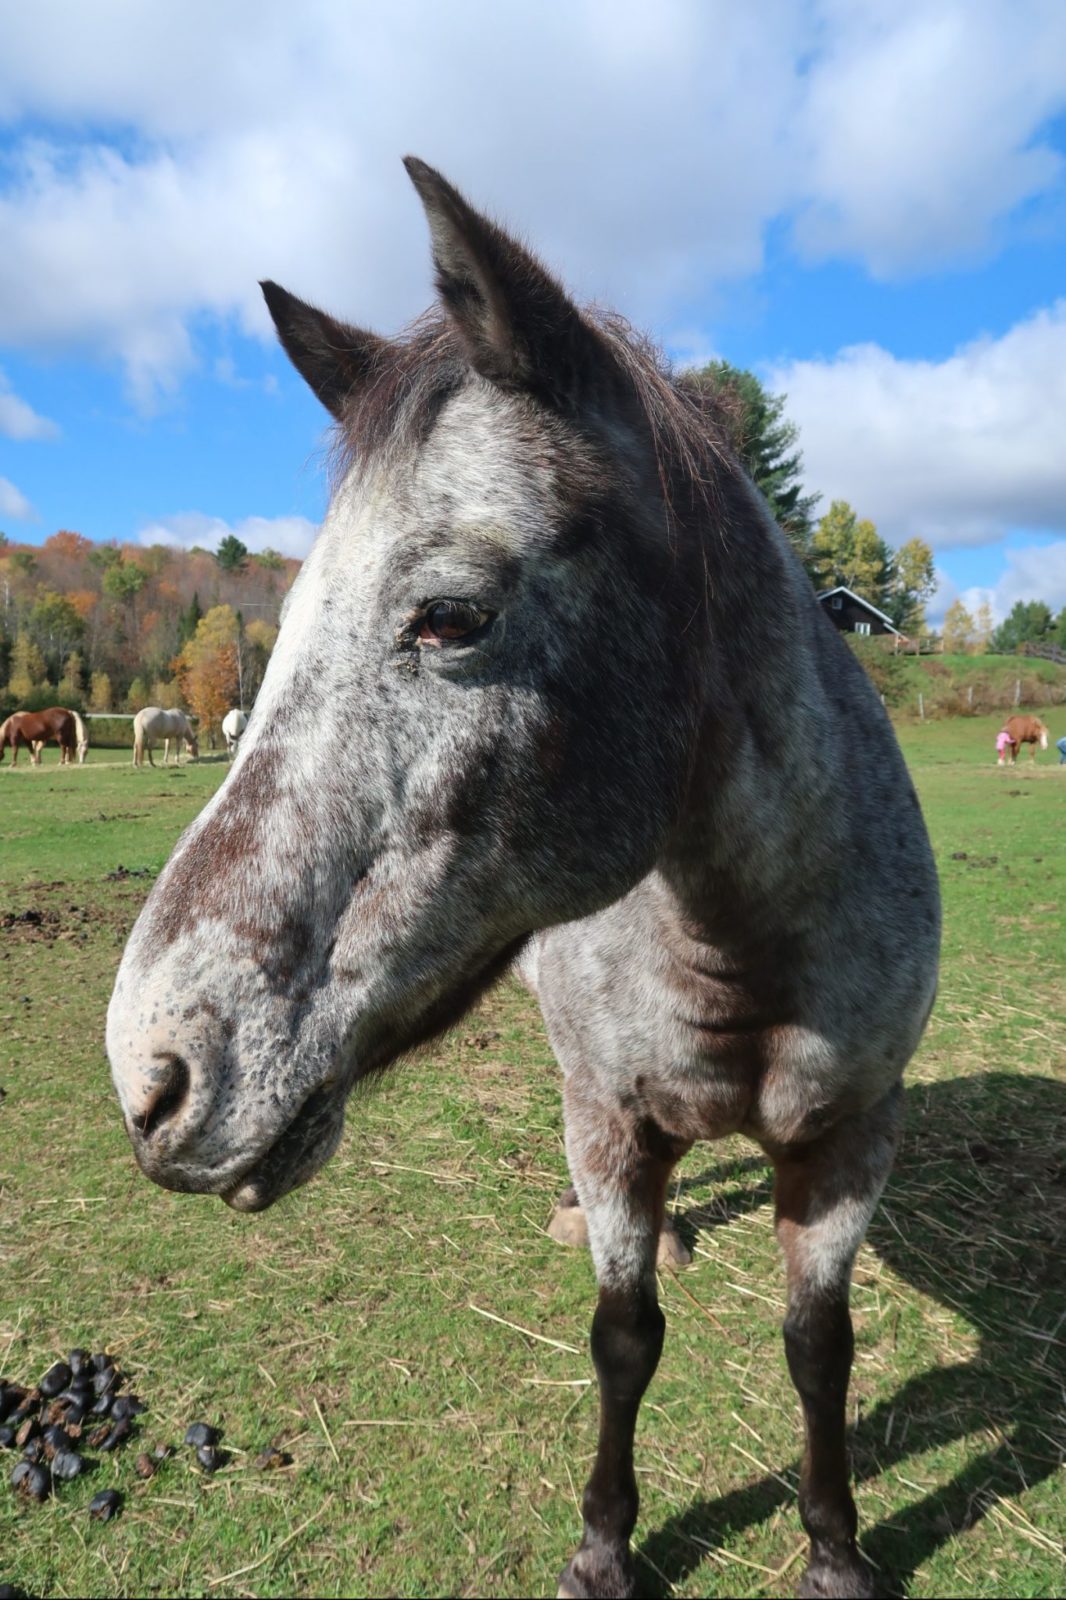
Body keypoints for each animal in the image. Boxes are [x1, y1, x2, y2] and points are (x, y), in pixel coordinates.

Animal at [109, 152, 941, 1600]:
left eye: (450, 616)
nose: (150, 1074)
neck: (739, 948)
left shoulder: (850, 1138)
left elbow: (817, 1347)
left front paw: (834, 1545)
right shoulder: (612, 1124)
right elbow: (623, 1335)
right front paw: (605, 1545)